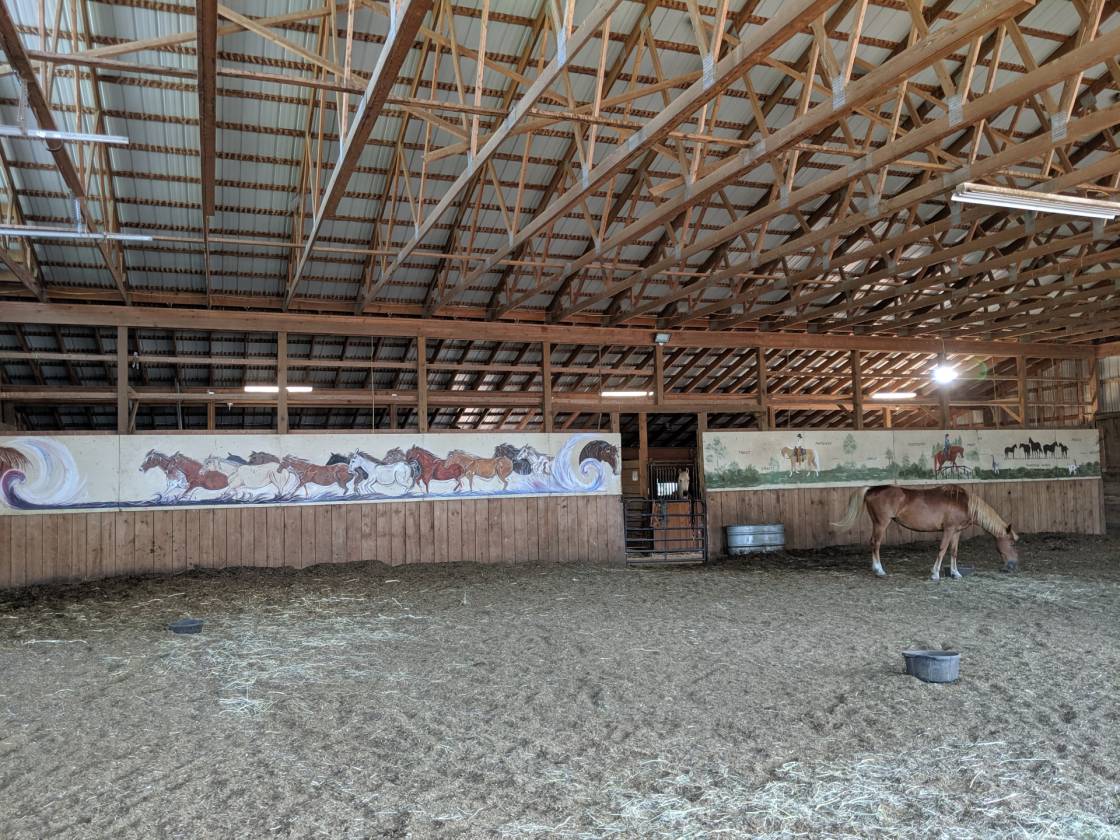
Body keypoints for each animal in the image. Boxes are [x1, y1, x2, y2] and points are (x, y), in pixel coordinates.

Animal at [832, 484, 1019, 580]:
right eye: (1011, 543)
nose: (1013, 564)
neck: (964, 503)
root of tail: (872, 489)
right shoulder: (949, 530)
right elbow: (942, 550)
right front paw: (935, 574)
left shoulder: (956, 532)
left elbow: (954, 551)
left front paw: (956, 573)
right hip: (881, 524)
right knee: (875, 544)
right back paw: (879, 570)